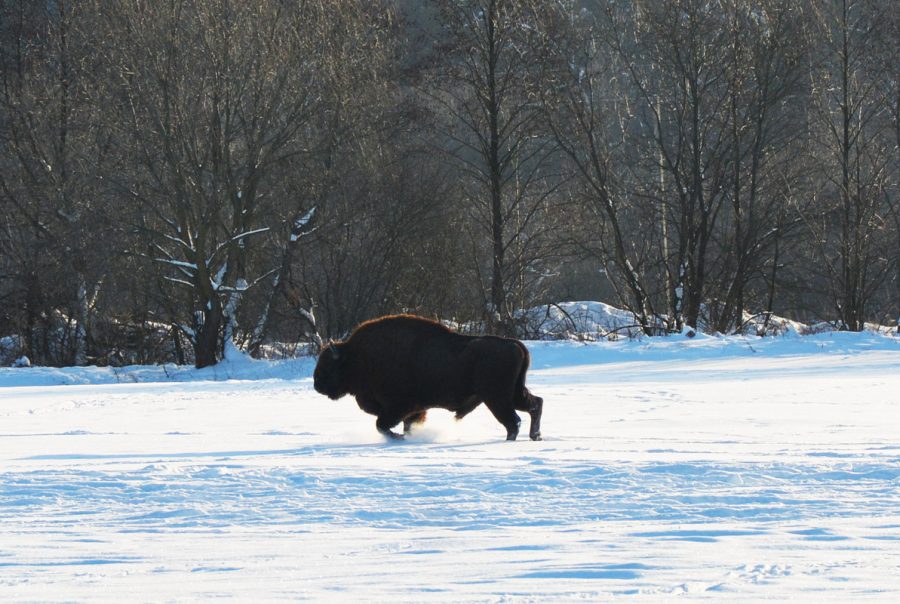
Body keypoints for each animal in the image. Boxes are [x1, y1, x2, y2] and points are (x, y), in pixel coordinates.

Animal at [312, 314, 543, 441]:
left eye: (328, 365)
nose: (317, 384)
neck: (358, 357)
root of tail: (515, 344)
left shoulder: (400, 407)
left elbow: (381, 425)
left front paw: (399, 438)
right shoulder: (414, 410)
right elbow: (404, 425)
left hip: (496, 398)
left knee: (513, 421)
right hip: (513, 393)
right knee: (535, 405)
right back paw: (535, 436)